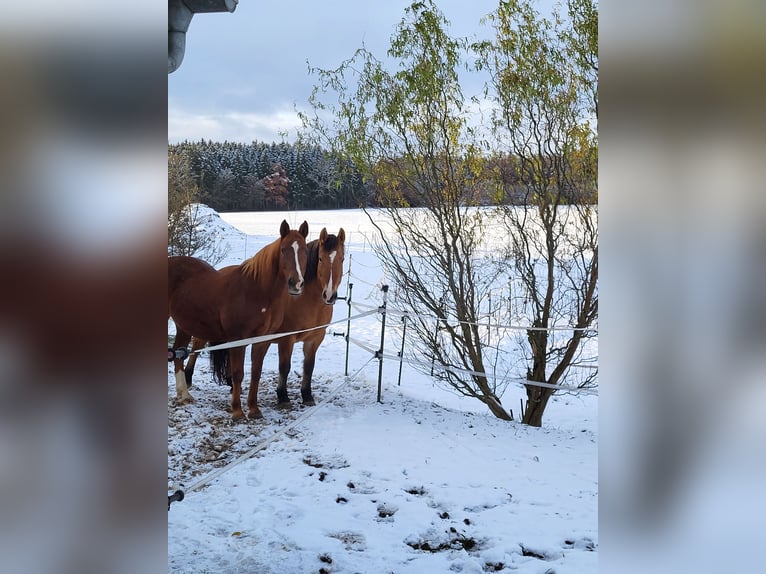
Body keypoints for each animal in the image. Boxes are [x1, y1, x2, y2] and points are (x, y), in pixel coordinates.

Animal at [169, 218, 308, 420]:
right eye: (283, 250)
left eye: (304, 250)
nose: (296, 283)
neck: (256, 290)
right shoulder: (237, 340)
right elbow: (237, 374)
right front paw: (237, 411)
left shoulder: (262, 340)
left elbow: (255, 373)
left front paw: (254, 409)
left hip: (184, 326)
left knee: (178, 355)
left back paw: (184, 395)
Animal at [183, 227, 344, 412]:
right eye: (321, 259)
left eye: (342, 258)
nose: (329, 295)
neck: (304, 300)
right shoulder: (286, 339)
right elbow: (285, 367)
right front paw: (283, 397)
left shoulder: (315, 339)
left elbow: (309, 367)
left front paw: (307, 395)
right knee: (196, 346)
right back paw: (187, 380)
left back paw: (231, 383)